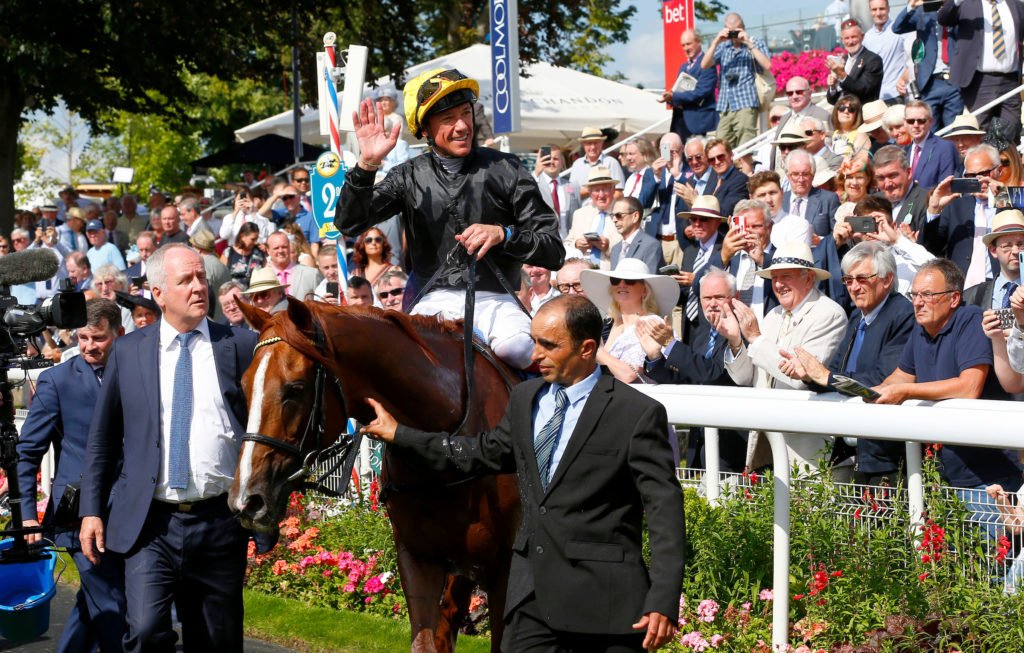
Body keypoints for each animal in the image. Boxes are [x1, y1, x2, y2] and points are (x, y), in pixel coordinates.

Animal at [231, 298, 520, 653]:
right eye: (244, 385)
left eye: (294, 389)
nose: (247, 499)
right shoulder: (418, 559)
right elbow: (425, 642)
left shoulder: (504, 570)